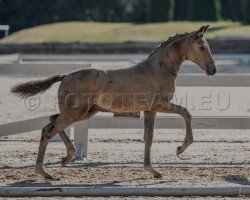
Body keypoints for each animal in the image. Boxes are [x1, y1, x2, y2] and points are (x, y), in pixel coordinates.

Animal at [10, 24, 216, 179]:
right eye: (202, 47)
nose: (213, 69)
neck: (158, 69)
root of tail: (66, 75)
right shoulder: (159, 105)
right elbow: (186, 113)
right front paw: (180, 149)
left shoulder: (150, 110)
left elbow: (148, 137)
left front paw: (152, 170)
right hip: (75, 113)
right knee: (48, 130)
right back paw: (43, 172)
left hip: (84, 112)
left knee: (52, 121)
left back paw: (67, 157)